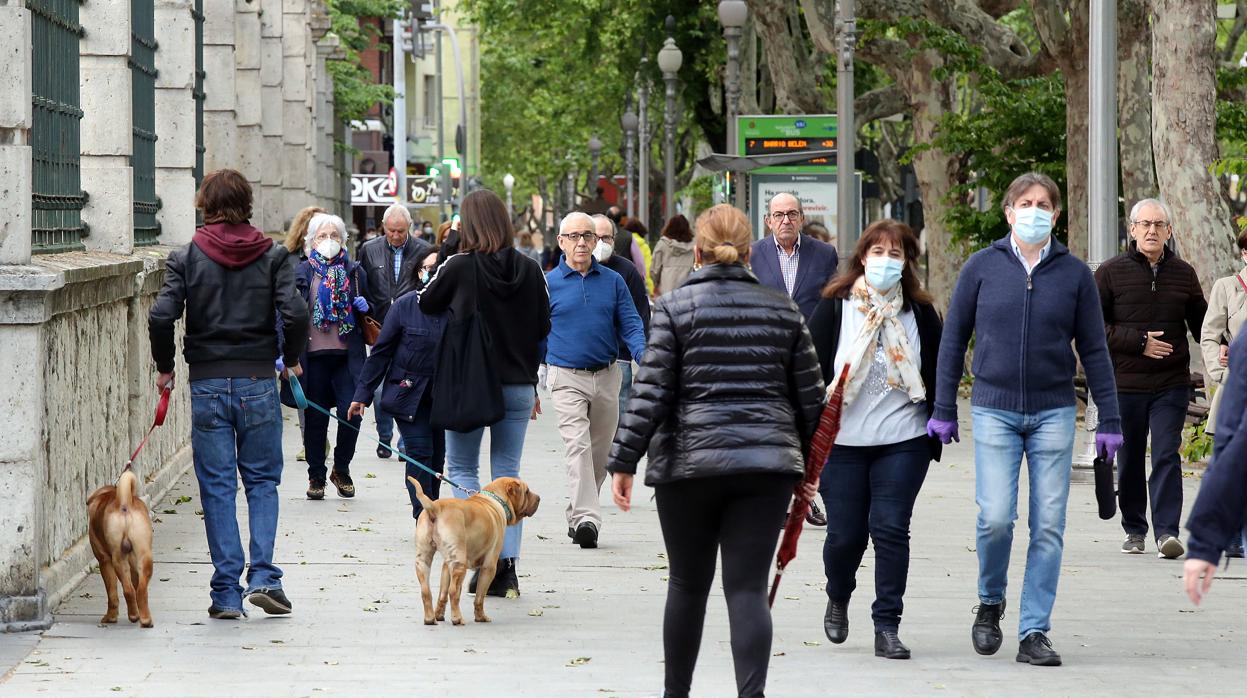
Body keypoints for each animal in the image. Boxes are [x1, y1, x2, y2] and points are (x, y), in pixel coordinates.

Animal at [86, 468, 154, 628]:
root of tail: (124, 503)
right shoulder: (134, 565)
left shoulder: (104, 561)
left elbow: (112, 594)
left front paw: (111, 617)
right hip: (144, 556)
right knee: (140, 590)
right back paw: (145, 620)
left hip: (117, 559)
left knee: (128, 590)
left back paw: (134, 616)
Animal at [406, 476, 538, 623]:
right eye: (527, 492)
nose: (539, 498)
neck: (494, 500)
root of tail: (435, 508)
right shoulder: (489, 566)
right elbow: (479, 597)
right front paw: (480, 617)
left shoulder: (446, 565)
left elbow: (443, 594)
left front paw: (439, 615)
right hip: (460, 564)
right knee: (453, 591)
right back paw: (457, 619)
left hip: (424, 561)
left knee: (426, 591)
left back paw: (430, 618)